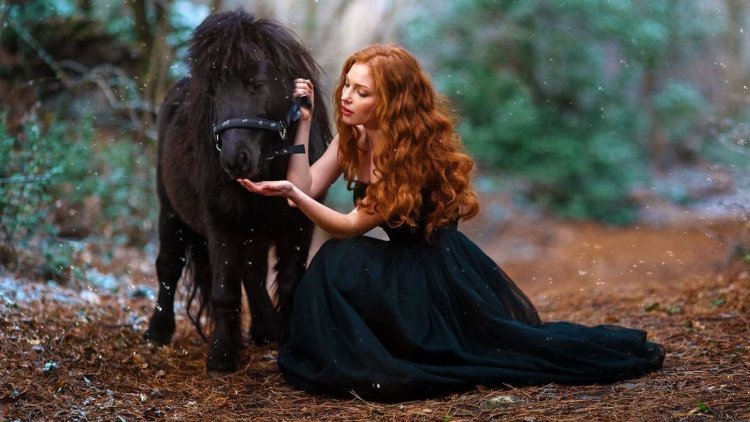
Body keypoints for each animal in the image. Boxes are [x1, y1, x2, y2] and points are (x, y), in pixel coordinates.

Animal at [143, 9, 331, 375]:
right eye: (214, 93)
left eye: (256, 85)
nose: (235, 160)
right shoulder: (222, 225)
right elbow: (224, 292)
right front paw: (221, 357)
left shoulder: (299, 226)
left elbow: (289, 285)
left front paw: (288, 344)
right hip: (170, 212)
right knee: (169, 265)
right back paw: (157, 332)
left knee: (252, 272)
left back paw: (266, 330)